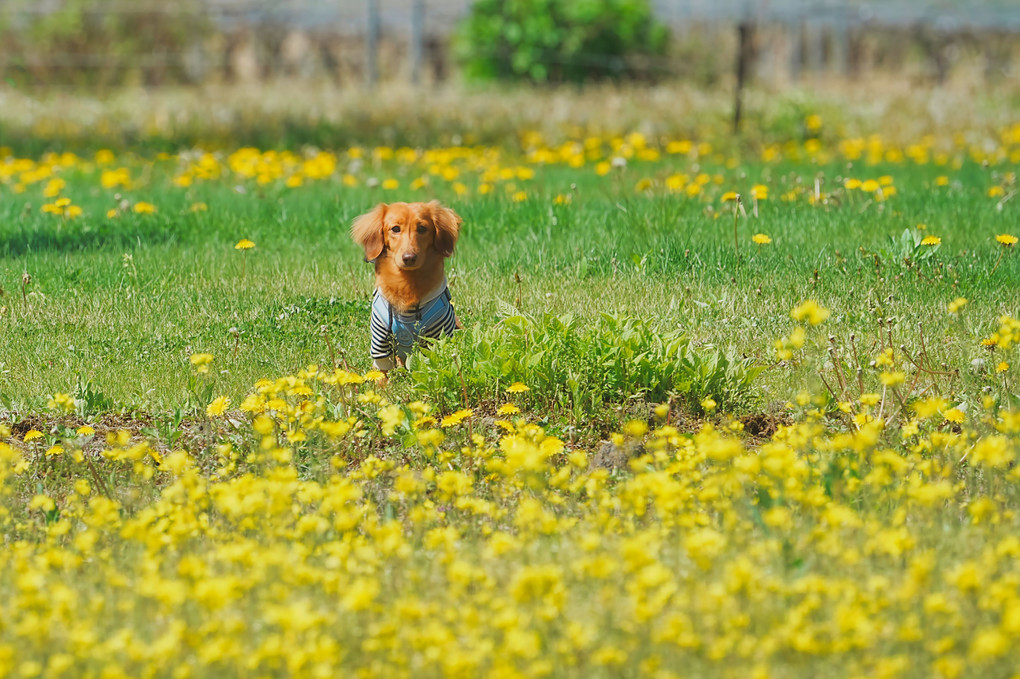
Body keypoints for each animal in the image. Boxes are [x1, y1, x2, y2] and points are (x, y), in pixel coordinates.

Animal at [350, 198, 463, 373]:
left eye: (422, 228)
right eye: (395, 229)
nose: (409, 257)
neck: (407, 283)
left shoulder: (440, 333)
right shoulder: (380, 340)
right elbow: (383, 370)